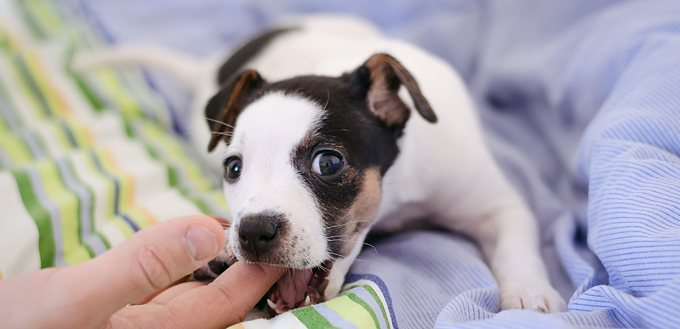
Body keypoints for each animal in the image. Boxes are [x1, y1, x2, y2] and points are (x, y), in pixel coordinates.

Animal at [74, 16, 564, 316]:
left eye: (328, 162)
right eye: (233, 168)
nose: (252, 232)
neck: (397, 195)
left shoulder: (495, 204)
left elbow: (515, 245)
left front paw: (530, 295)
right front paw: (222, 254)